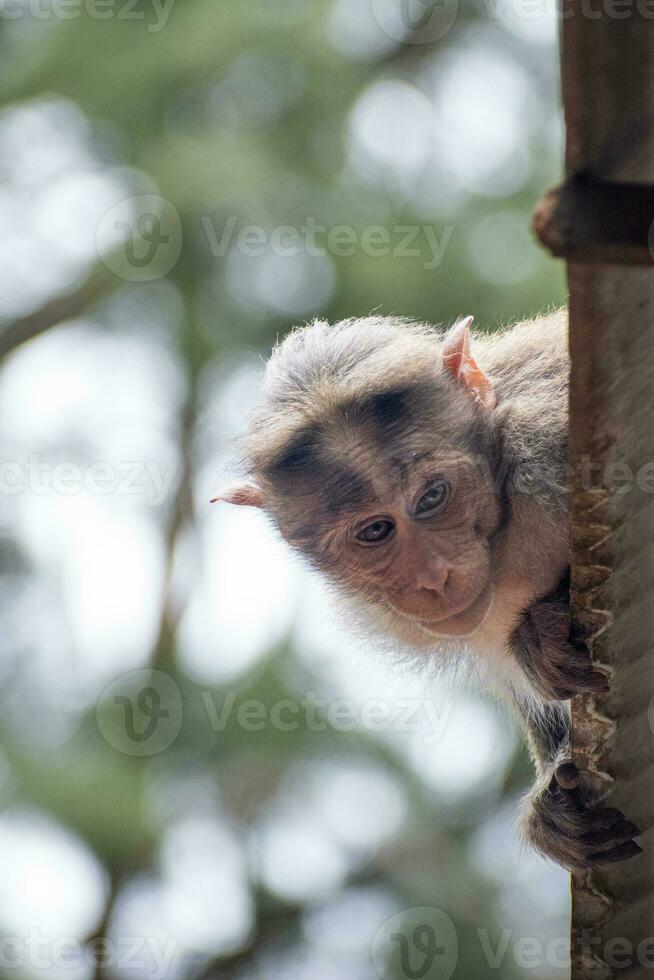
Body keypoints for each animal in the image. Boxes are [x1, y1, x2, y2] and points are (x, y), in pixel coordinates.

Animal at [214, 310, 640, 868]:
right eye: (376, 531)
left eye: (433, 497)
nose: (434, 577)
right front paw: (556, 811)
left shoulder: (547, 439)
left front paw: (541, 632)